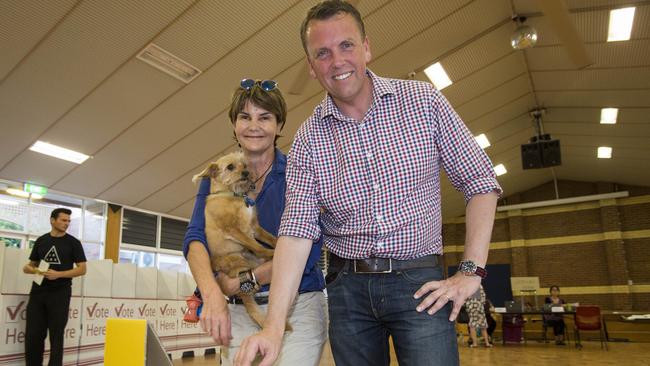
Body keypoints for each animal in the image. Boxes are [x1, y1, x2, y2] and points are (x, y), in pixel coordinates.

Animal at [191, 150, 274, 328]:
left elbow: (270, 238)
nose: (246, 173)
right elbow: (256, 245)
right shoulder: (235, 230)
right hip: (238, 259)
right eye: (230, 167)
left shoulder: (255, 228)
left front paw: (276, 244)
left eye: (245, 165)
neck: (233, 195)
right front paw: (271, 252)